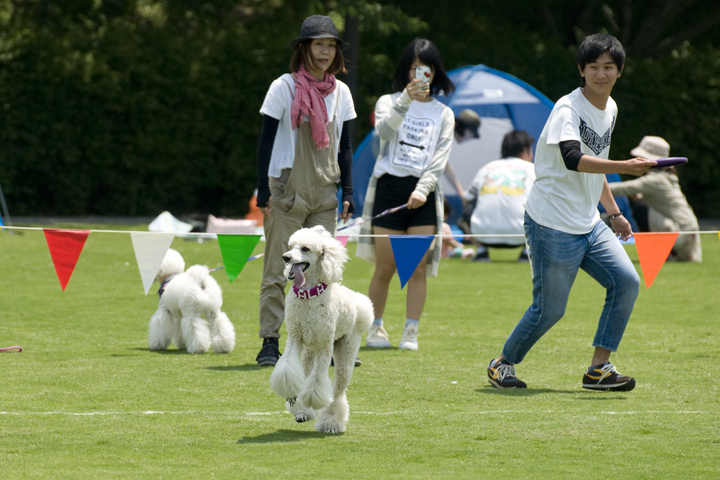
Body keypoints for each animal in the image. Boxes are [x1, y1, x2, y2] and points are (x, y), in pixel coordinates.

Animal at [269, 225, 373, 433]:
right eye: (291, 246)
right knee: (306, 372)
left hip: (345, 350)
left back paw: (331, 422)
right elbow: (287, 367)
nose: (286, 257)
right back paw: (302, 412)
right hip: (310, 351)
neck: (309, 295)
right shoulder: (295, 336)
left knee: (338, 391)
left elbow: (318, 379)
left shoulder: (325, 343)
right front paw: (293, 397)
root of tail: (358, 304)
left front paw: (314, 403)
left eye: (305, 248)